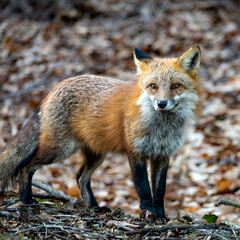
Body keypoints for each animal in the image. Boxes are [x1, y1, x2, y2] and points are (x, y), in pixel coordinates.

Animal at [0, 47, 201, 221]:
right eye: (153, 86)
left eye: (175, 86)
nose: (161, 103)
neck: (161, 128)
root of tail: (54, 88)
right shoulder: (136, 153)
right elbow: (143, 187)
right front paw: (148, 212)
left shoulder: (162, 155)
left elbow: (159, 191)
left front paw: (161, 217)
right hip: (59, 150)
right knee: (26, 166)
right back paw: (26, 198)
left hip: (96, 155)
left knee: (80, 177)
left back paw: (95, 208)